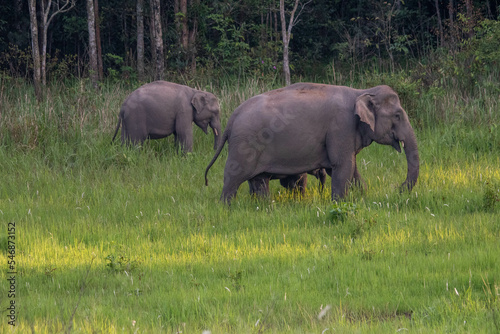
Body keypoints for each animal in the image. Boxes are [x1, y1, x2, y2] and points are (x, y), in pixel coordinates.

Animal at [203, 83, 418, 204]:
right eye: (397, 116)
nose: (398, 189)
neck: (361, 92)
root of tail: (232, 118)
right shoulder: (341, 126)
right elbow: (342, 165)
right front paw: (339, 204)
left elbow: (351, 167)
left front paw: (362, 196)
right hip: (244, 145)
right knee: (233, 178)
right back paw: (226, 208)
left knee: (258, 180)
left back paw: (262, 207)